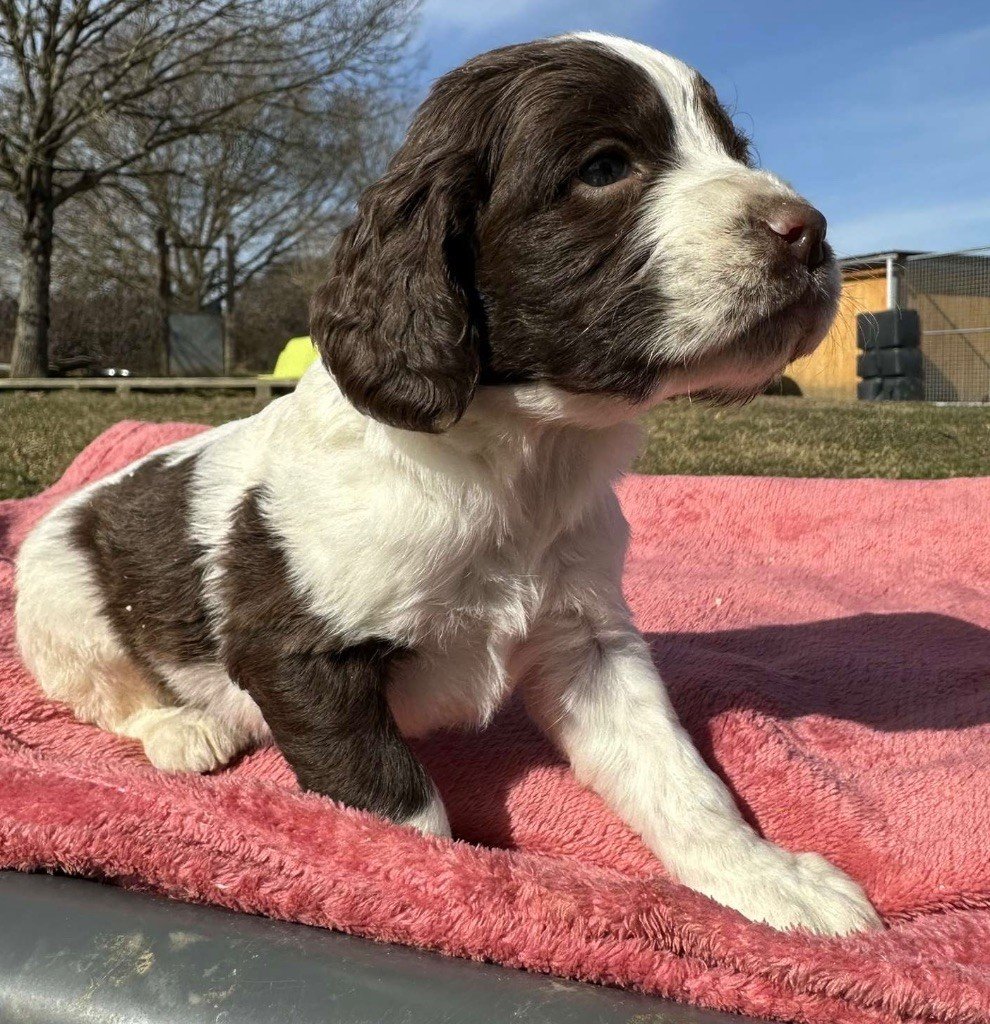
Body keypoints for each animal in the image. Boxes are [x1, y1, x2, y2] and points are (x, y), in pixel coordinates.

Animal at [13, 36, 884, 937]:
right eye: (605, 167)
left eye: (734, 150)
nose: (809, 233)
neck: (521, 458)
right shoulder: (297, 654)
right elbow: (400, 810)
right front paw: (432, 885)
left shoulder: (588, 640)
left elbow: (675, 774)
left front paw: (770, 882)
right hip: (62, 605)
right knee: (109, 696)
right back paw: (184, 731)